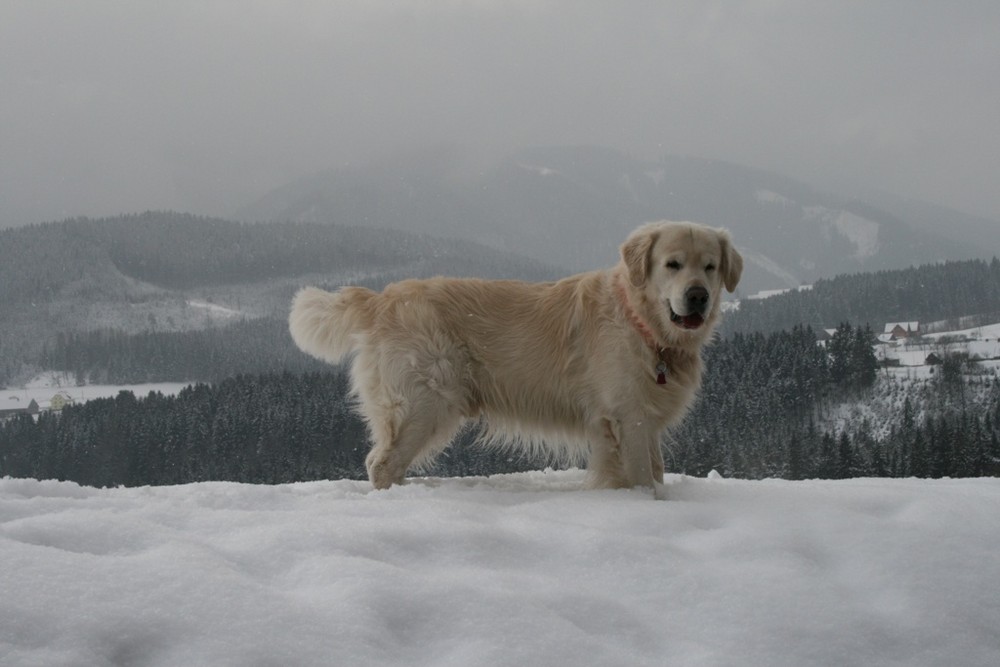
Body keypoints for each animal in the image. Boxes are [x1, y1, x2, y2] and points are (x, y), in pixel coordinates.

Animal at [290, 222, 744, 498]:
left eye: (710, 266)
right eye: (672, 264)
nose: (698, 296)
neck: (641, 322)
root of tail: (382, 298)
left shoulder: (644, 418)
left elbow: (657, 469)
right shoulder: (626, 416)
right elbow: (641, 477)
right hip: (426, 402)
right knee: (381, 462)